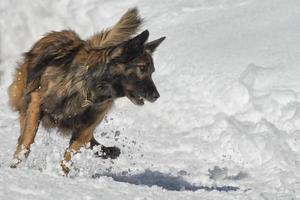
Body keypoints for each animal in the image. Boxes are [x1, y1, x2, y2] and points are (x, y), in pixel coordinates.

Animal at [7, 8, 165, 173]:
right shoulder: (37, 102)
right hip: (24, 97)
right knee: (23, 128)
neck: (89, 88)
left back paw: (107, 150)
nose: (157, 96)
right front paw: (17, 161)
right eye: (142, 68)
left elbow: (72, 151)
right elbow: (28, 137)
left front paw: (63, 172)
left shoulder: (87, 125)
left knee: (90, 141)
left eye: (152, 71)